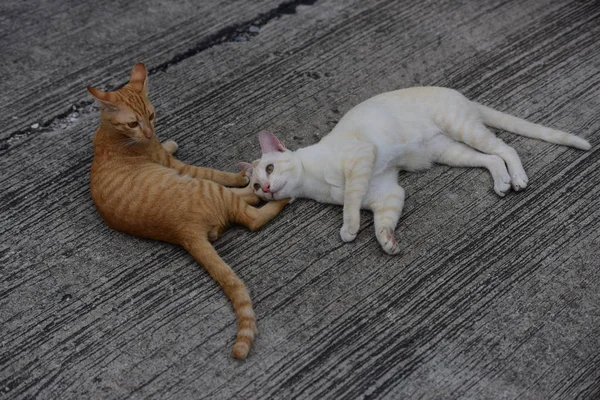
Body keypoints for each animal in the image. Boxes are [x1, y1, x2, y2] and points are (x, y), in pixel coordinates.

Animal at [87, 63, 290, 360]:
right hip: (211, 190)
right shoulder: (179, 167)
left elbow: (168, 147)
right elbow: (215, 173)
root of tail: (184, 234)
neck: (110, 133)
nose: (149, 133)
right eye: (133, 123)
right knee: (252, 212)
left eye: (151, 116)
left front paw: (168, 141)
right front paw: (242, 176)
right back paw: (273, 192)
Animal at [244, 87, 592, 255]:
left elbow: (351, 202)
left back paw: (517, 177)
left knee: (506, 149)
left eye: (270, 168)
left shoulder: (361, 158)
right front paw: (387, 241)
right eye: (256, 189)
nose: (267, 188)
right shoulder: (389, 193)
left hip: (463, 128)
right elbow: (382, 221)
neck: (314, 184)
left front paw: (349, 227)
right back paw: (502, 181)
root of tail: (460, 94)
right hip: (449, 152)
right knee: (491, 160)